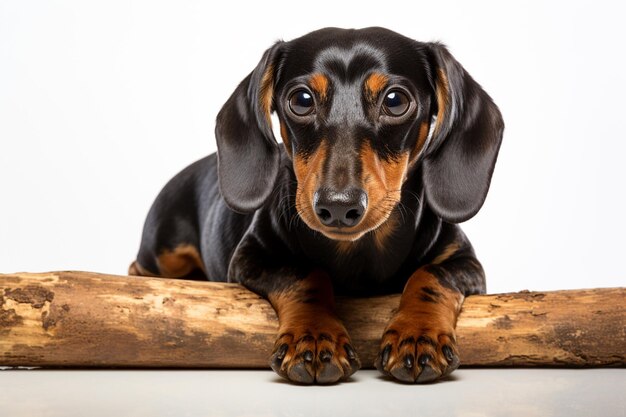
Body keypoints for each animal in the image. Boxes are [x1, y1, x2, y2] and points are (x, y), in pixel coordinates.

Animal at [130, 26, 502, 384]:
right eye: (301, 100)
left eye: (396, 101)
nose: (338, 207)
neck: (359, 252)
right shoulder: (251, 257)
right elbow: (306, 274)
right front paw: (314, 338)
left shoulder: (465, 261)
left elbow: (431, 276)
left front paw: (417, 336)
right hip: (164, 251)